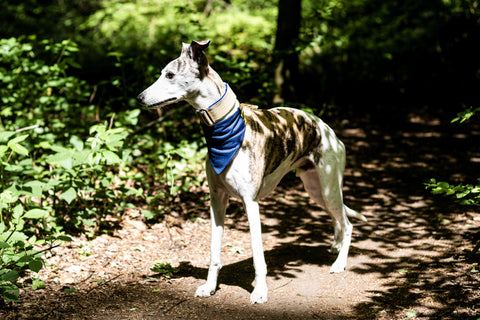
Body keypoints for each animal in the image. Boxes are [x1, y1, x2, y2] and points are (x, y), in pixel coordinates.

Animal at [137, 41, 366, 304]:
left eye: (170, 75)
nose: (139, 98)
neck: (224, 127)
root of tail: (326, 128)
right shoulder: (217, 200)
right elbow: (214, 252)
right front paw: (210, 287)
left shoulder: (251, 202)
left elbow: (258, 257)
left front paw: (260, 291)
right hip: (317, 189)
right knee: (338, 218)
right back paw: (336, 247)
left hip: (328, 187)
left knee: (347, 224)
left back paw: (339, 263)